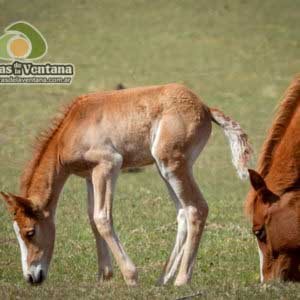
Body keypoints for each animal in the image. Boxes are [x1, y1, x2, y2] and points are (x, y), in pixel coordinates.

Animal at [1, 84, 252, 286]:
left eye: (30, 232)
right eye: (17, 231)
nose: (31, 277)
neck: (72, 126)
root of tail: (205, 108)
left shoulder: (109, 165)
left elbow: (102, 218)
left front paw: (130, 277)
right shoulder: (90, 176)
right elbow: (92, 219)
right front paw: (104, 276)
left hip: (171, 165)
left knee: (196, 209)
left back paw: (181, 280)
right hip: (165, 169)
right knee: (182, 213)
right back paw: (163, 280)